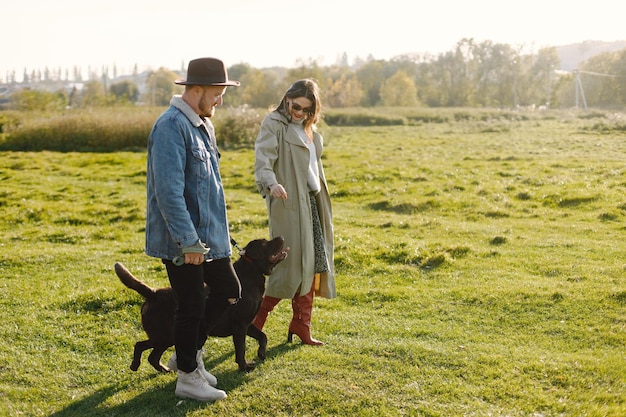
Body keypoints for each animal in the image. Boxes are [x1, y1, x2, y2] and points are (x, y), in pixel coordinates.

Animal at [113, 236, 286, 372]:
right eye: (265, 244)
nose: (282, 237)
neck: (252, 271)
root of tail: (153, 293)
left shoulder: (248, 323)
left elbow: (263, 336)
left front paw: (261, 353)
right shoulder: (240, 325)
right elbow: (241, 350)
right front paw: (244, 367)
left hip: (167, 337)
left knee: (152, 357)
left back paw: (165, 370)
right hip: (164, 335)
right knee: (140, 346)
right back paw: (135, 365)